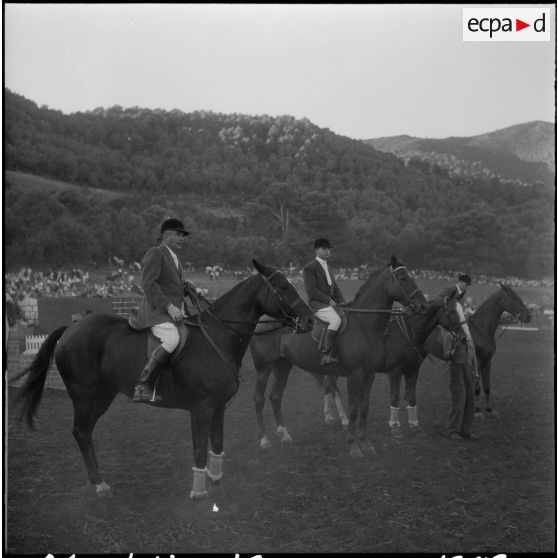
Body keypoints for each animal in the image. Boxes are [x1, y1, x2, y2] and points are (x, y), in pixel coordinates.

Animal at [13, 262, 316, 504]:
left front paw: (216, 479)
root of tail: (72, 328)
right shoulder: (201, 409)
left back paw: (95, 480)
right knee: (81, 432)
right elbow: (199, 448)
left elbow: (217, 443)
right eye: (283, 287)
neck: (217, 337)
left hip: (103, 395)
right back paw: (99, 484)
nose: (311, 320)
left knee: (84, 433)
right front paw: (199, 492)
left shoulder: (218, 408)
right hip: (85, 396)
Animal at [250, 256, 428, 458]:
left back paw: (284, 434)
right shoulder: (354, 375)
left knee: (275, 396)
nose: (422, 305)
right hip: (263, 367)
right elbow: (353, 410)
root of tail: (263, 320)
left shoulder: (369, 375)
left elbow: (364, 408)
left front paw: (366, 443)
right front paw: (354, 446)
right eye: (403, 278)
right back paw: (264, 440)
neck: (364, 326)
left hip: (283, 365)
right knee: (259, 399)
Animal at [470, 282, 532, 418]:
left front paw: (489, 409)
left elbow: (487, 385)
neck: (480, 329)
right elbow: (477, 387)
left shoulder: (487, 361)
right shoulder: (478, 361)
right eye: (513, 297)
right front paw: (476, 410)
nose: (528, 316)